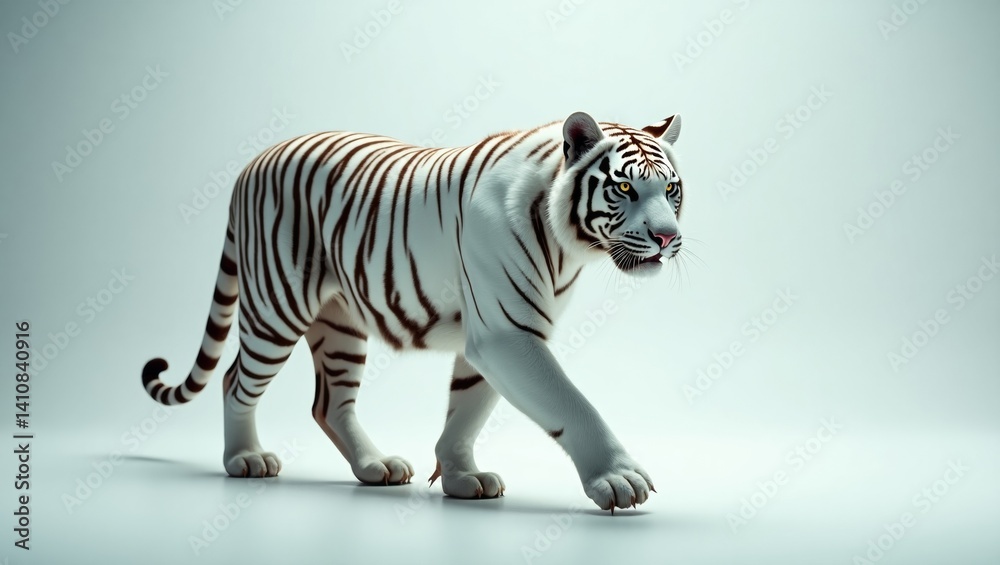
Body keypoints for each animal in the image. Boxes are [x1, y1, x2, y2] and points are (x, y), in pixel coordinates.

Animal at [141, 111, 684, 512]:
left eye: (672, 189)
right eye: (624, 188)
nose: (667, 237)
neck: (567, 245)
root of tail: (253, 162)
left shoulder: (493, 337)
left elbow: (467, 410)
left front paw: (462, 476)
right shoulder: (507, 333)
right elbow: (571, 403)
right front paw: (618, 477)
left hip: (340, 325)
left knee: (329, 404)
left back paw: (374, 467)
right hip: (276, 308)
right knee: (235, 380)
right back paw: (245, 458)